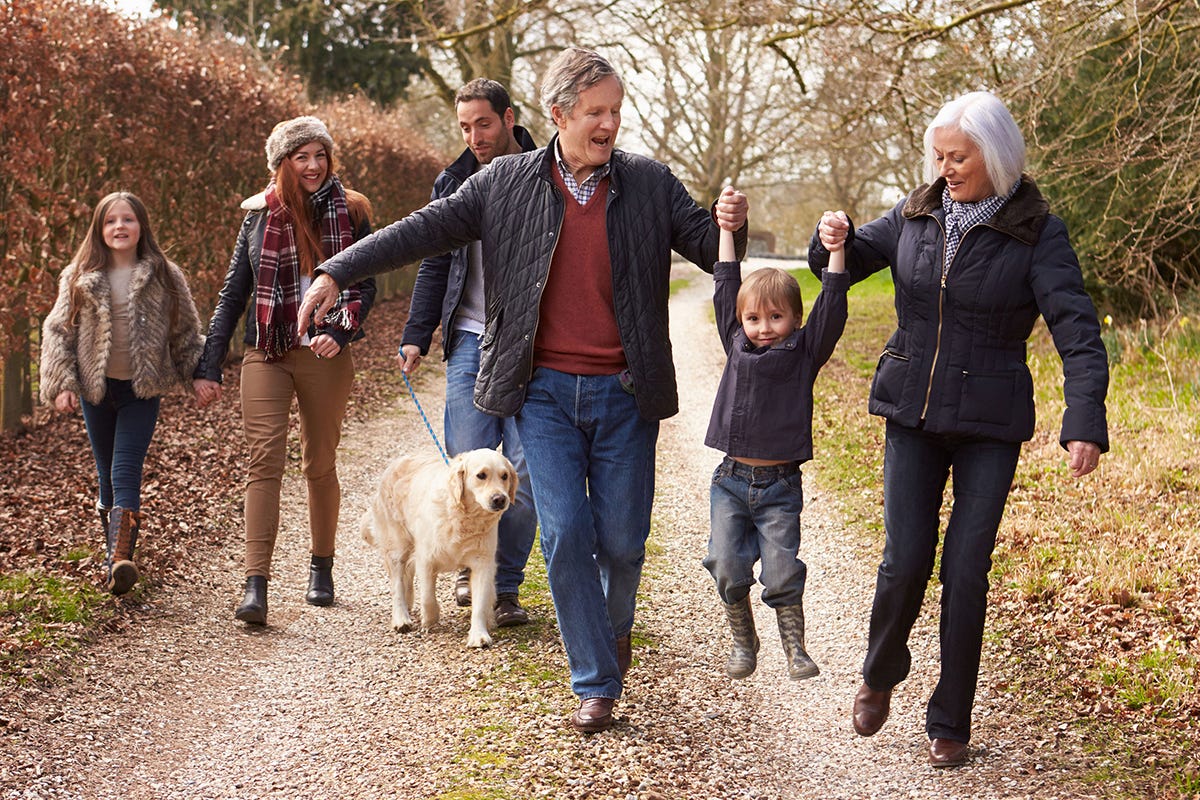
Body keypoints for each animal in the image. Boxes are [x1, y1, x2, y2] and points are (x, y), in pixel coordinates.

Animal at [362, 448, 518, 647]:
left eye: (504, 476)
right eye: (481, 475)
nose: (500, 499)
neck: (464, 517)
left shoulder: (483, 563)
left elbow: (481, 603)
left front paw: (478, 635)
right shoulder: (426, 558)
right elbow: (428, 596)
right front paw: (430, 619)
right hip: (396, 546)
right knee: (397, 583)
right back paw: (401, 618)